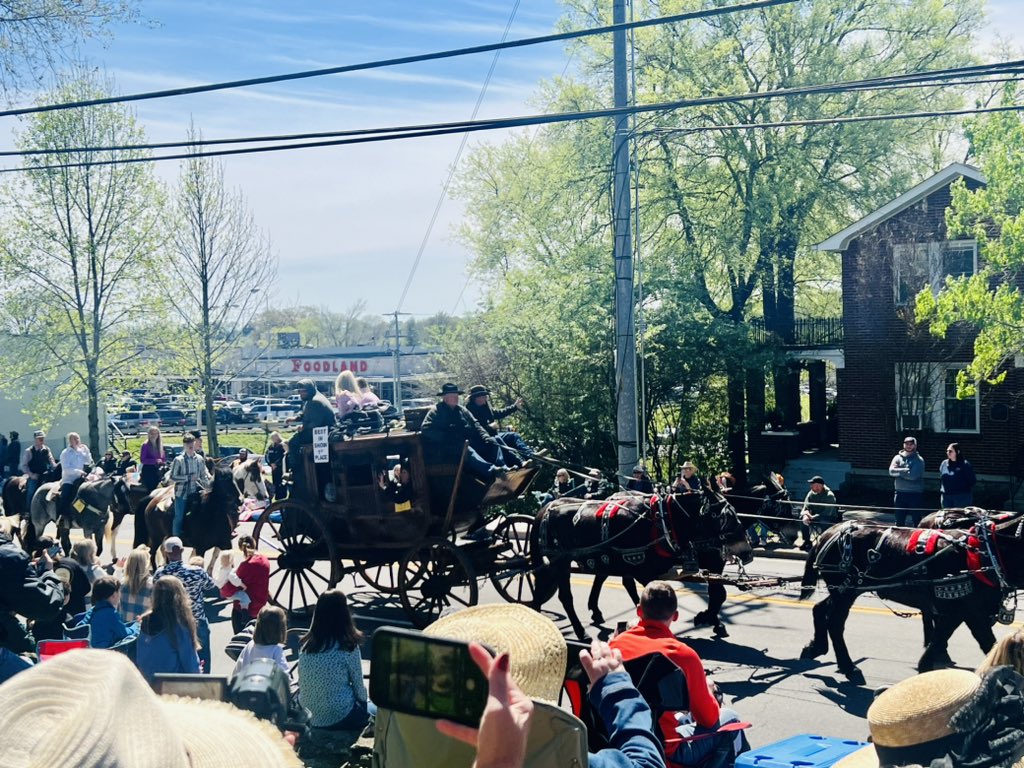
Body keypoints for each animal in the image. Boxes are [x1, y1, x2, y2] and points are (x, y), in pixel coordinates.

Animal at [798, 514, 1024, 684]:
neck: (987, 551)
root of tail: (829, 532)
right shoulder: (964, 609)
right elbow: (954, 639)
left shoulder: (967, 612)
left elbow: (975, 642)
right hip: (846, 589)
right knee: (835, 623)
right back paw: (848, 666)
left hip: (845, 590)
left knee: (820, 610)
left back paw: (816, 648)